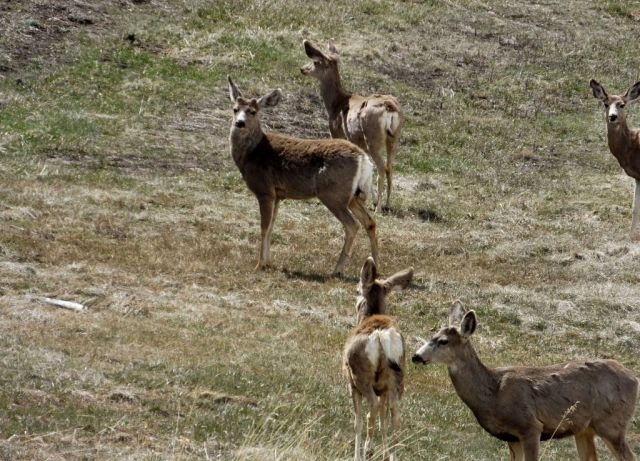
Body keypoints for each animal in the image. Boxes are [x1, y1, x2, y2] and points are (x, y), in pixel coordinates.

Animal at [227, 77, 379, 277]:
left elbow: (264, 227)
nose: (240, 123)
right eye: (235, 109)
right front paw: (269, 263)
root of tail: (362, 158)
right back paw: (376, 266)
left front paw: (259, 265)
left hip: (333, 194)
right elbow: (271, 227)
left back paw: (336, 270)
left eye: (253, 111)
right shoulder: (278, 195)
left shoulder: (265, 190)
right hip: (353, 195)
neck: (253, 153)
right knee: (370, 222)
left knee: (352, 225)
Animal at [301, 40, 403, 213]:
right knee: (390, 168)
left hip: (373, 138)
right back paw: (387, 204)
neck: (335, 104)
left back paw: (378, 208)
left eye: (315, 62)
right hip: (393, 137)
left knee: (382, 168)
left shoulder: (337, 133)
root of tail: (389, 107)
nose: (302, 69)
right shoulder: (358, 142)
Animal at [343, 256, 413, 461]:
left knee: (370, 409)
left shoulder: (350, 384)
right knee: (395, 414)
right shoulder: (383, 388)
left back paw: (366, 451)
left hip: (361, 377)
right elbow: (383, 421)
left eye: (357, 290)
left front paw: (360, 453)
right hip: (396, 378)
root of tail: (381, 336)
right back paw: (392, 455)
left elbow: (358, 421)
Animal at [412, 300, 639, 461]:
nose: (416, 356)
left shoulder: (530, 427)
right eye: (432, 334)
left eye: (443, 341)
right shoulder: (511, 437)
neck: (493, 394)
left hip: (612, 423)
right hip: (584, 428)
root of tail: (634, 378)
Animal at [590, 80, 640, 239]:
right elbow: (635, 208)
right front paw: (629, 236)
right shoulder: (637, 176)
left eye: (622, 104)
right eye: (606, 104)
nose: (612, 116)